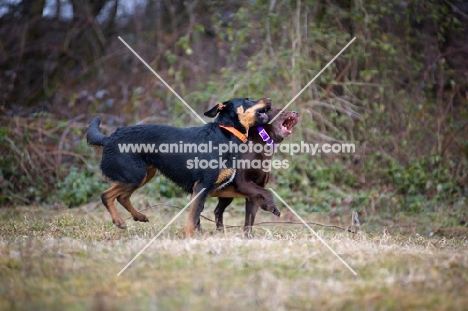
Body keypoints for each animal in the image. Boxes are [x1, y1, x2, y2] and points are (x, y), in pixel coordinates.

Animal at [88, 98, 276, 238]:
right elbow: (194, 215)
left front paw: (269, 203)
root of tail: (108, 139)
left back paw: (138, 216)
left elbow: (260, 192)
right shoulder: (202, 186)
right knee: (106, 195)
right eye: (247, 100)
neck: (227, 133)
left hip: (145, 174)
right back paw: (119, 221)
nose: (269, 99)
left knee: (122, 196)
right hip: (135, 175)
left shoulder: (215, 188)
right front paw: (190, 236)